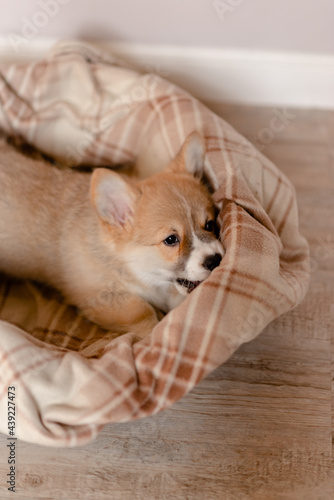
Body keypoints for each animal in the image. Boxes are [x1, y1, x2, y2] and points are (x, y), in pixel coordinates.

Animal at [0, 132, 224, 340]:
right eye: (171, 240)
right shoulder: (102, 298)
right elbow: (141, 312)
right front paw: (154, 332)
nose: (215, 260)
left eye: (210, 224)